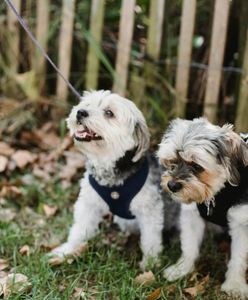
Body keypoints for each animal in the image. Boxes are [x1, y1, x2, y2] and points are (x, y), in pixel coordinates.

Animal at [157, 118, 248, 298]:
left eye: (197, 166)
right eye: (172, 161)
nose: (172, 185)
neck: (217, 193)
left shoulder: (242, 222)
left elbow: (239, 256)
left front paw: (235, 285)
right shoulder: (192, 216)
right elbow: (189, 246)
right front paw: (181, 269)